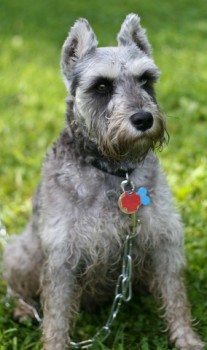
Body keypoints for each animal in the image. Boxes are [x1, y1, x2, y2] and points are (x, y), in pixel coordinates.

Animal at [2, 13, 204, 350]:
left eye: (146, 79)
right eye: (101, 86)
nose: (143, 119)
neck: (116, 173)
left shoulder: (163, 241)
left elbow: (176, 297)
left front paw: (187, 339)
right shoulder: (62, 256)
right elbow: (56, 315)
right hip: (22, 253)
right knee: (19, 289)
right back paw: (23, 309)